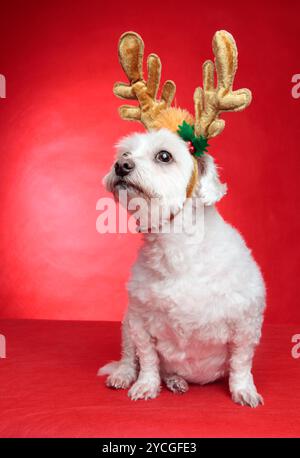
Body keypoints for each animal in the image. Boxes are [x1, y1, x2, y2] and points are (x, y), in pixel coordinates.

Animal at [98, 30, 264, 406]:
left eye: (164, 156)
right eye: (126, 152)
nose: (120, 165)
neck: (176, 247)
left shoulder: (247, 321)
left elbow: (241, 363)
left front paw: (244, 390)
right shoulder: (140, 321)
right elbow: (147, 358)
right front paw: (145, 385)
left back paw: (175, 381)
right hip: (124, 323)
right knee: (130, 357)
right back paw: (132, 376)